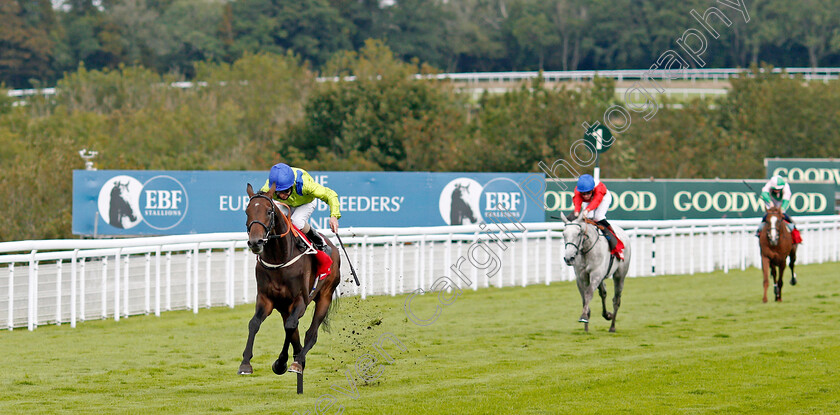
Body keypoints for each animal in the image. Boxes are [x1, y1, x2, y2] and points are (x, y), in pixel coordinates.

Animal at [236, 184, 342, 394]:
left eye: (269, 212)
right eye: (247, 211)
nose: (255, 242)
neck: (279, 257)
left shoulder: (299, 300)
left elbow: (291, 327)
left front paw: (286, 362)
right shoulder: (266, 299)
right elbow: (254, 324)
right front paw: (245, 364)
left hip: (324, 296)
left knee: (311, 333)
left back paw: (298, 361)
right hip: (284, 307)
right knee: (293, 331)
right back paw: (294, 359)